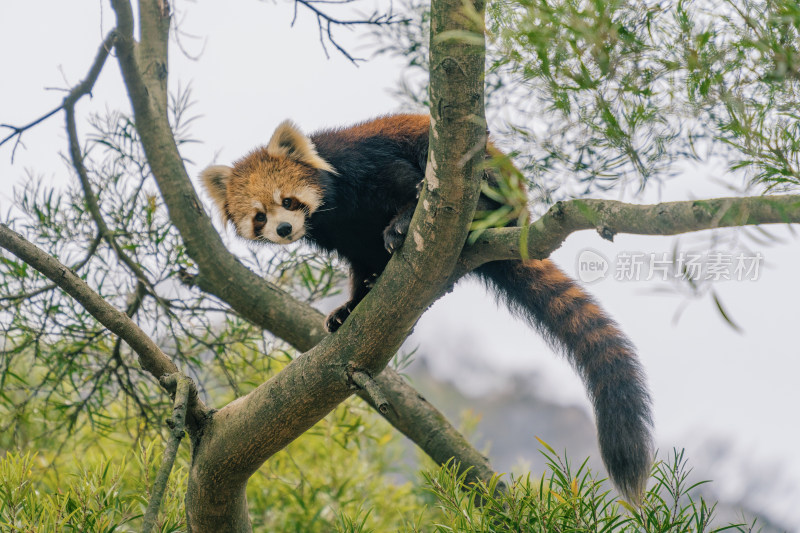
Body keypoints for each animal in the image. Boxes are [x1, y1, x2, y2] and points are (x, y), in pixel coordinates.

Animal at [198, 114, 648, 500]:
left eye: (288, 201)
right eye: (260, 216)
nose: (284, 229)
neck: (334, 210)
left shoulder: (365, 162)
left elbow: (408, 187)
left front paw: (401, 221)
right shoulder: (346, 234)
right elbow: (361, 263)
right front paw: (350, 307)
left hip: (482, 165)